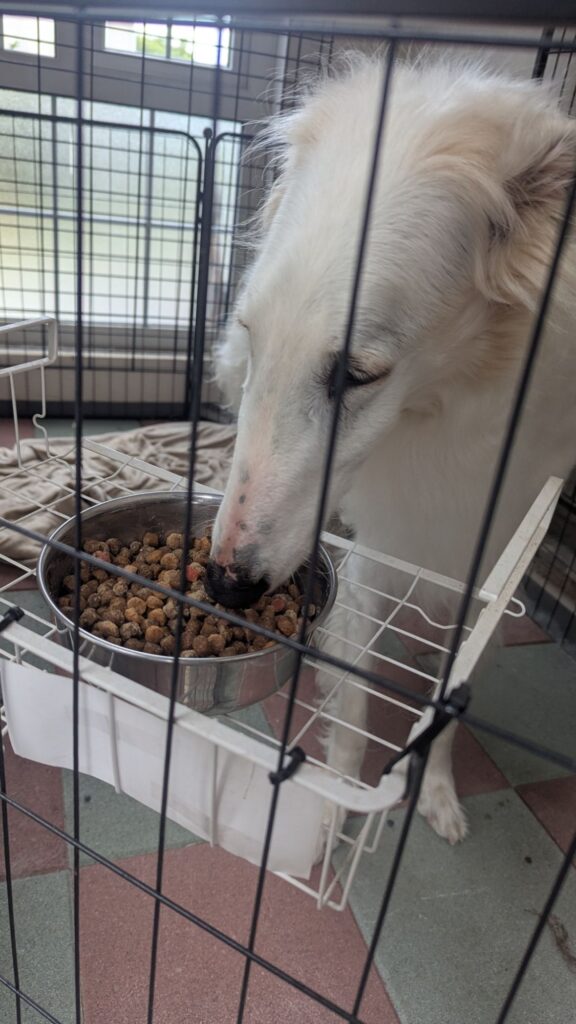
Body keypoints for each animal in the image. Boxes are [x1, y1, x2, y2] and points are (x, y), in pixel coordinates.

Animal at [206, 57, 576, 844]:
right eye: (256, 334)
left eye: (356, 374)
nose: (225, 586)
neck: (440, 411)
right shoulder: (372, 555)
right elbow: (354, 704)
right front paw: (336, 806)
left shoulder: (482, 560)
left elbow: (445, 706)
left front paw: (435, 794)